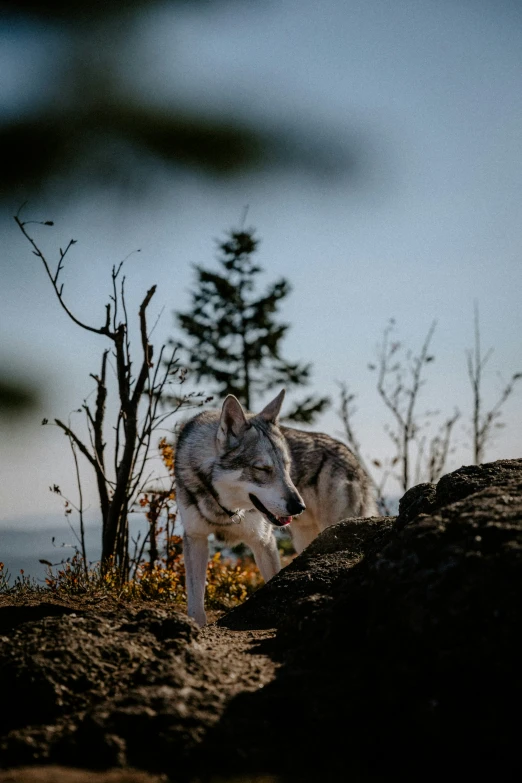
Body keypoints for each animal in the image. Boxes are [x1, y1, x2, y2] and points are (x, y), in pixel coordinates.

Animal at [175, 390, 374, 624]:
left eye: (287, 466)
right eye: (263, 469)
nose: (298, 506)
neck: (225, 509)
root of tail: (350, 455)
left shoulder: (263, 540)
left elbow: (271, 581)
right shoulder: (195, 538)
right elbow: (195, 598)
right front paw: (195, 626)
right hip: (304, 539)